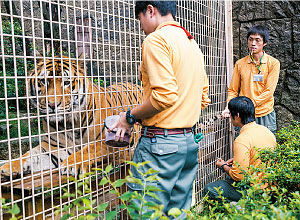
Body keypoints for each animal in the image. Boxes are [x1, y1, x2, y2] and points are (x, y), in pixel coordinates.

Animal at [0, 54, 142, 179]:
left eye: (67, 82)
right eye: (44, 81)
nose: (52, 104)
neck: (70, 123)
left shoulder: (118, 141)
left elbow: (92, 147)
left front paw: (71, 164)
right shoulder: (55, 146)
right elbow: (31, 155)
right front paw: (8, 167)